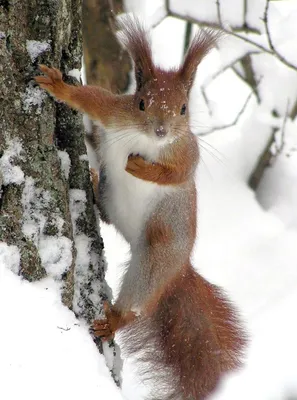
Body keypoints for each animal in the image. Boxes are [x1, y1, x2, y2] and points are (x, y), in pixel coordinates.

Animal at [35, 18, 245, 400]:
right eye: (142, 103)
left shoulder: (187, 151)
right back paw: (92, 178)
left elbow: (178, 173)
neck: (146, 140)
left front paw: (140, 168)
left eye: (184, 109)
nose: (161, 131)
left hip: (156, 258)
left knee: (137, 303)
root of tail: (179, 271)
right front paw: (60, 87)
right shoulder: (115, 112)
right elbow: (92, 99)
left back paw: (114, 319)